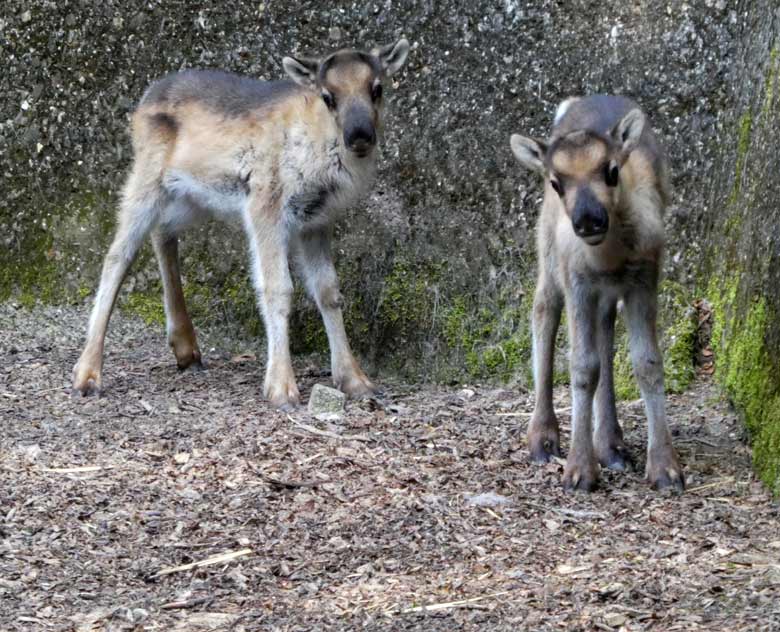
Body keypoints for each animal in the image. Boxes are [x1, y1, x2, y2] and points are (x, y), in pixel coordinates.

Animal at [71, 39, 412, 410]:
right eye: (327, 95)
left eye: (377, 88)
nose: (360, 135)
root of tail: (144, 101)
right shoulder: (265, 205)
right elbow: (278, 288)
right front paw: (281, 388)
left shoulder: (316, 222)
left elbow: (328, 291)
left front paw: (356, 380)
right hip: (146, 178)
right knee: (118, 254)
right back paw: (87, 375)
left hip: (191, 198)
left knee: (163, 233)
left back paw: (186, 349)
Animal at [512, 95, 684, 494]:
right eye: (557, 182)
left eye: (611, 171)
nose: (589, 219)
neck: (610, 257)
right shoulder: (578, 281)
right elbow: (582, 366)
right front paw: (579, 470)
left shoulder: (643, 278)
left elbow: (647, 363)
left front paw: (665, 468)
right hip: (549, 254)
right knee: (543, 311)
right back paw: (543, 438)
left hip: (607, 294)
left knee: (606, 335)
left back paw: (611, 444)